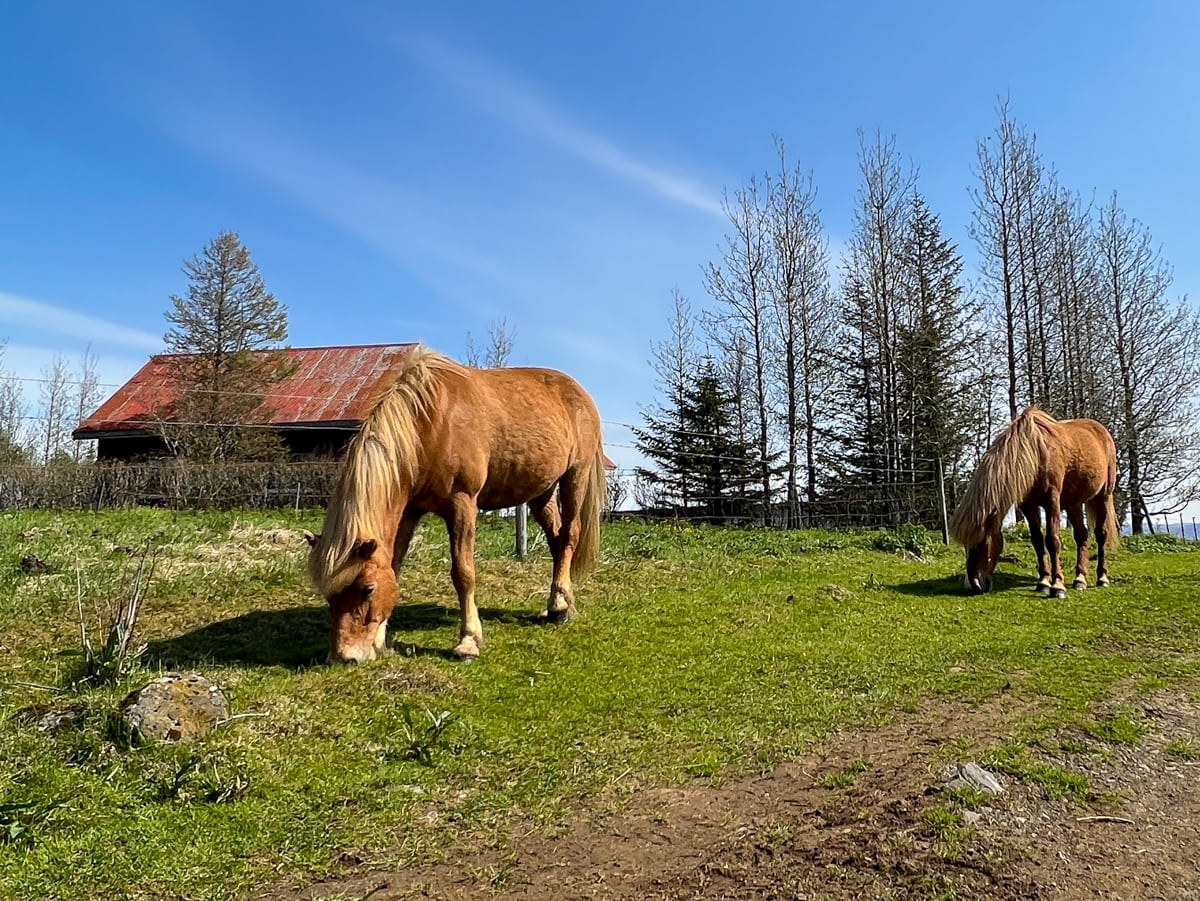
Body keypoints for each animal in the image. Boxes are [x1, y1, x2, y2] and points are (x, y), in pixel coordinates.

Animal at [304, 345, 604, 662]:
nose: (344, 656)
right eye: (329, 594)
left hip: (575, 477)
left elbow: (463, 572)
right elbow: (395, 565)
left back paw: (559, 606)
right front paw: (380, 641)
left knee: (569, 534)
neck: (430, 424)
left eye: (367, 589)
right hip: (541, 492)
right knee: (556, 540)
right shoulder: (409, 511)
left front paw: (468, 641)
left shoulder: (462, 503)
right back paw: (557, 604)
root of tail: (579, 393)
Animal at [950, 407, 1118, 599]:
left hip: (1103, 496)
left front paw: (1057, 586)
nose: (975, 585)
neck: (1036, 454)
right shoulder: (1028, 506)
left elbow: (1052, 541)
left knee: (1100, 535)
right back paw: (1080, 579)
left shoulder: (1052, 501)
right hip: (1073, 502)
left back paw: (1102, 578)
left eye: (982, 542)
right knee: (1081, 535)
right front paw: (1044, 582)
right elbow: (1037, 541)